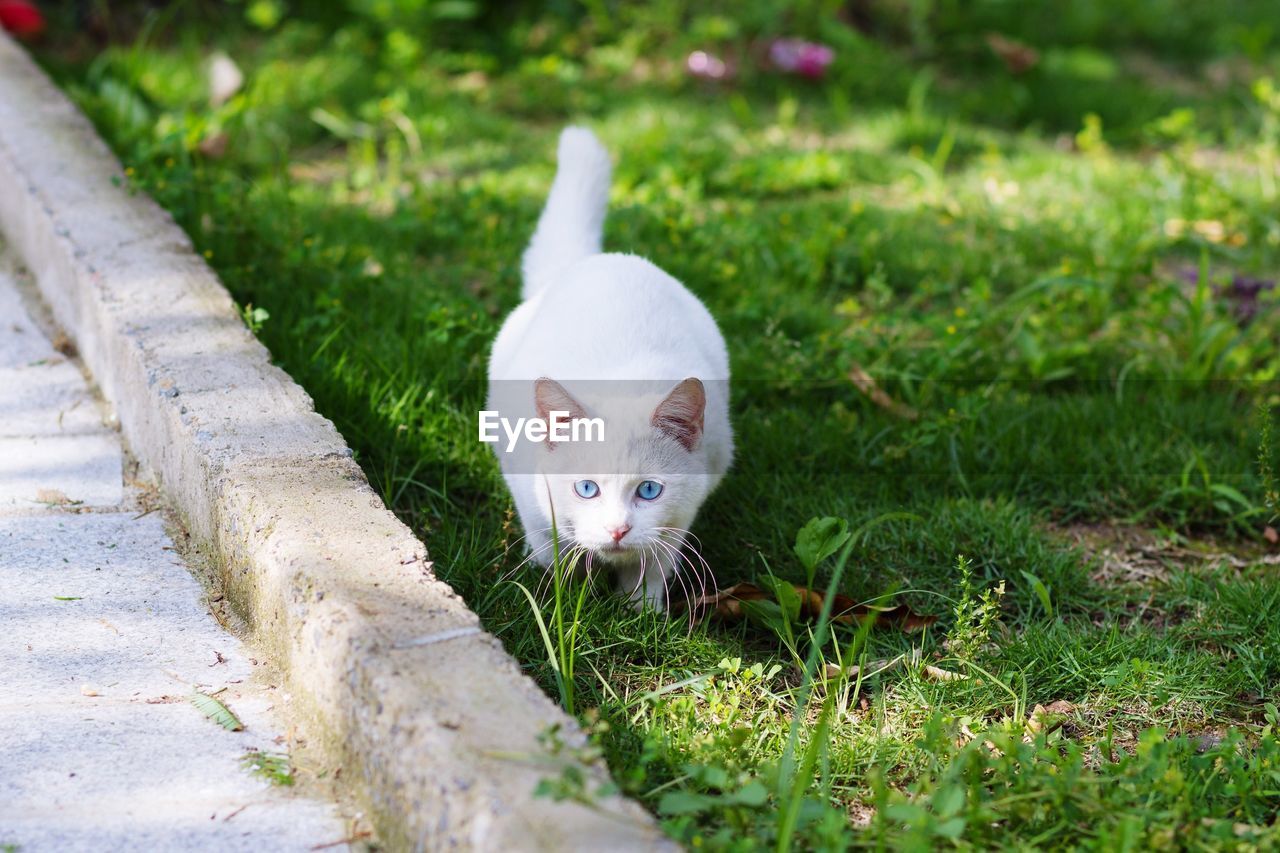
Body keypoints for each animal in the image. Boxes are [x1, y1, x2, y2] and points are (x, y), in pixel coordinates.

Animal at [486, 126, 737, 607]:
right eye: (587, 489)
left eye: (649, 490)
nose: (618, 528)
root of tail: (595, 261)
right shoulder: (529, 495)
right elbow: (551, 550)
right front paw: (561, 597)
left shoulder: (682, 513)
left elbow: (652, 565)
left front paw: (641, 609)